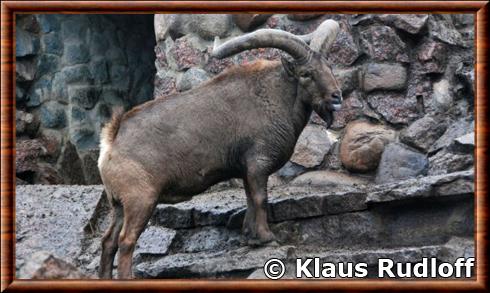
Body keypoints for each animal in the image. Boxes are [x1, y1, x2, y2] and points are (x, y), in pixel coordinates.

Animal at [97, 19, 342, 278]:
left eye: (328, 66)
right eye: (306, 73)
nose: (337, 97)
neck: (275, 95)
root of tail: (112, 140)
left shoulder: (246, 169)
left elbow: (249, 199)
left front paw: (250, 237)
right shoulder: (258, 163)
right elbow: (260, 198)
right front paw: (267, 237)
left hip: (118, 205)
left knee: (108, 241)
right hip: (140, 200)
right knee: (126, 241)